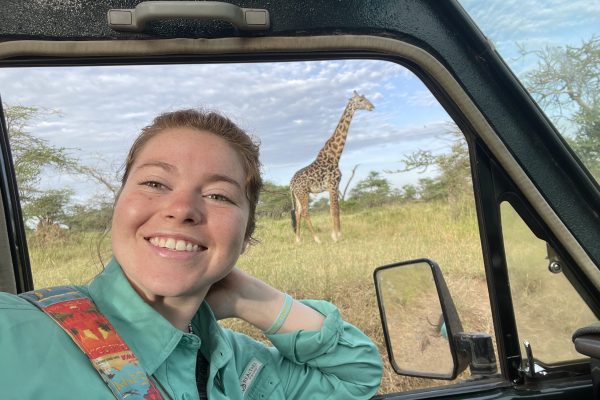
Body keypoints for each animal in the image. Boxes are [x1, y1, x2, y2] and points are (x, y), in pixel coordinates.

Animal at [288, 91, 372, 244]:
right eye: (361, 100)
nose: (371, 107)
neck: (335, 156)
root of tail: (290, 183)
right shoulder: (332, 185)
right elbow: (334, 210)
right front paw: (336, 237)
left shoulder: (335, 186)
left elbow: (336, 209)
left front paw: (339, 235)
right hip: (304, 193)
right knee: (305, 212)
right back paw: (317, 239)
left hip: (298, 195)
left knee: (298, 212)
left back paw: (298, 240)